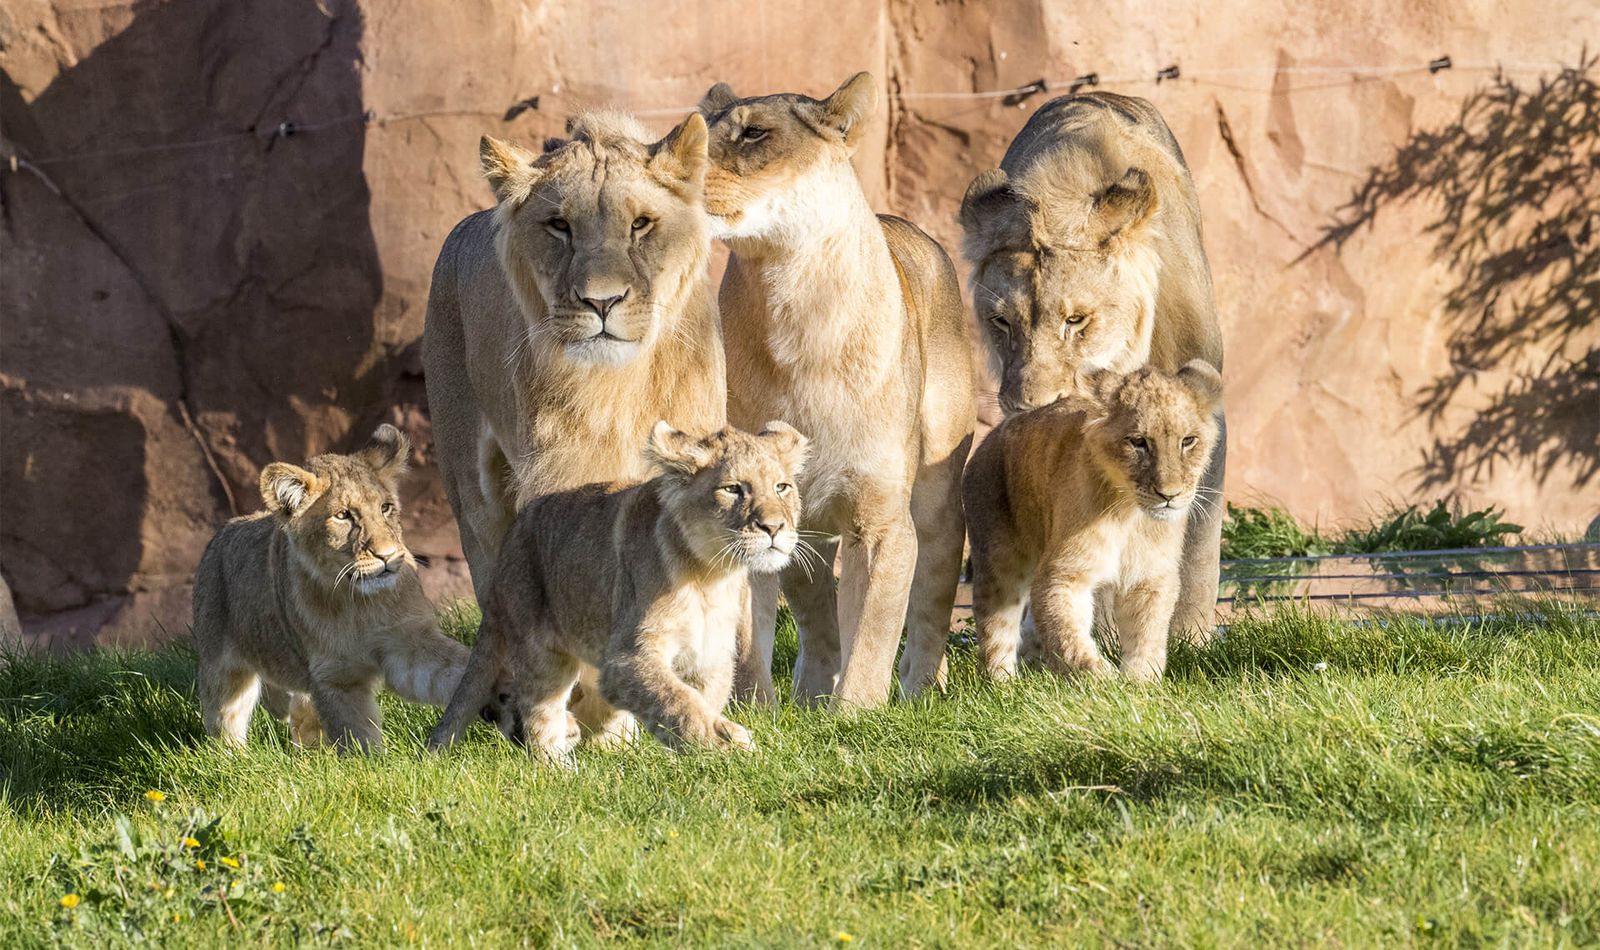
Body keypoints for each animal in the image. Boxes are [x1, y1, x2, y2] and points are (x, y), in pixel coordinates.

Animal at [192, 425, 470, 753]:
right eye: (343, 515)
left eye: (386, 508)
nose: (388, 556)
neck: (360, 604)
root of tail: (223, 530)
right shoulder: (335, 677)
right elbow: (358, 736)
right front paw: (372, 764)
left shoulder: (408, 644)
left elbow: (455, 670)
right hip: (221, 665)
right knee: (224, 716)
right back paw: (233, 757)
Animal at [423, 110, 727, 608]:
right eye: (559, 226)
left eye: (640, 224)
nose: (602, 302)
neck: (623, 386)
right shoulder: (563, 476)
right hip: (471, 489)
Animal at [428, 421, 809, 759]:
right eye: (732, 489)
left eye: (781, 487)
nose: (774, 527)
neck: (711, 575)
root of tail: (509, 544)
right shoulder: (626, 658)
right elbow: (677, 699)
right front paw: (727, 744)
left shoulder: (710, 659)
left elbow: (695, 700)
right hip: (541, 652)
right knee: (539, 716)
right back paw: (560, 770)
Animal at [697, 72, 976, 709]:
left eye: (754, 134)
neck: (792, 301)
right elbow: (764, 629)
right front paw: (763, 712)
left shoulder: (882, 520)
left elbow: (872, 628)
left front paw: (857, 714)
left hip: (938, 500)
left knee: (931, 601)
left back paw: (921, 689)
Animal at [963, 361, 1223, 683]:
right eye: (1138, 442)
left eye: (1188, 441)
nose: (1169, 494)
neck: (1130, 516)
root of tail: (993, 434)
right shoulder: (1064, 573)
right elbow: (1069, 636)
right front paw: (1104, 680)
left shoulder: (1150, 577)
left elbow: (1147, 634)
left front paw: (1140, 682)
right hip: (999, 559)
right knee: (995, 626)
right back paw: (1004, 684)